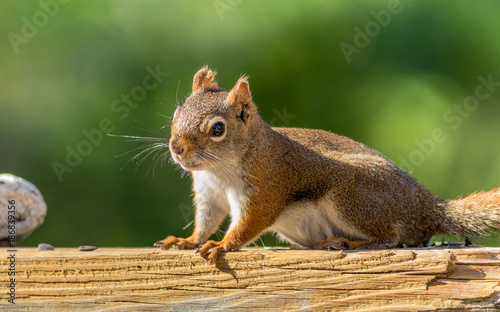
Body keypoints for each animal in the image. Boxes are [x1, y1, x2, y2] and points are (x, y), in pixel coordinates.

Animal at [154, 66, 498, 264]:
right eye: (176, 113)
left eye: (217, 129)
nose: (176, 148)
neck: (219, 170)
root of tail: (426, 207)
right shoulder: (209, 193)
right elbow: (206, 221)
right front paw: (187, 241)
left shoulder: (266, 187)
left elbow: (249, 223)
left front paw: (223, 245)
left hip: (351, 196)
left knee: (391, 235)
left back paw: (346, 241)